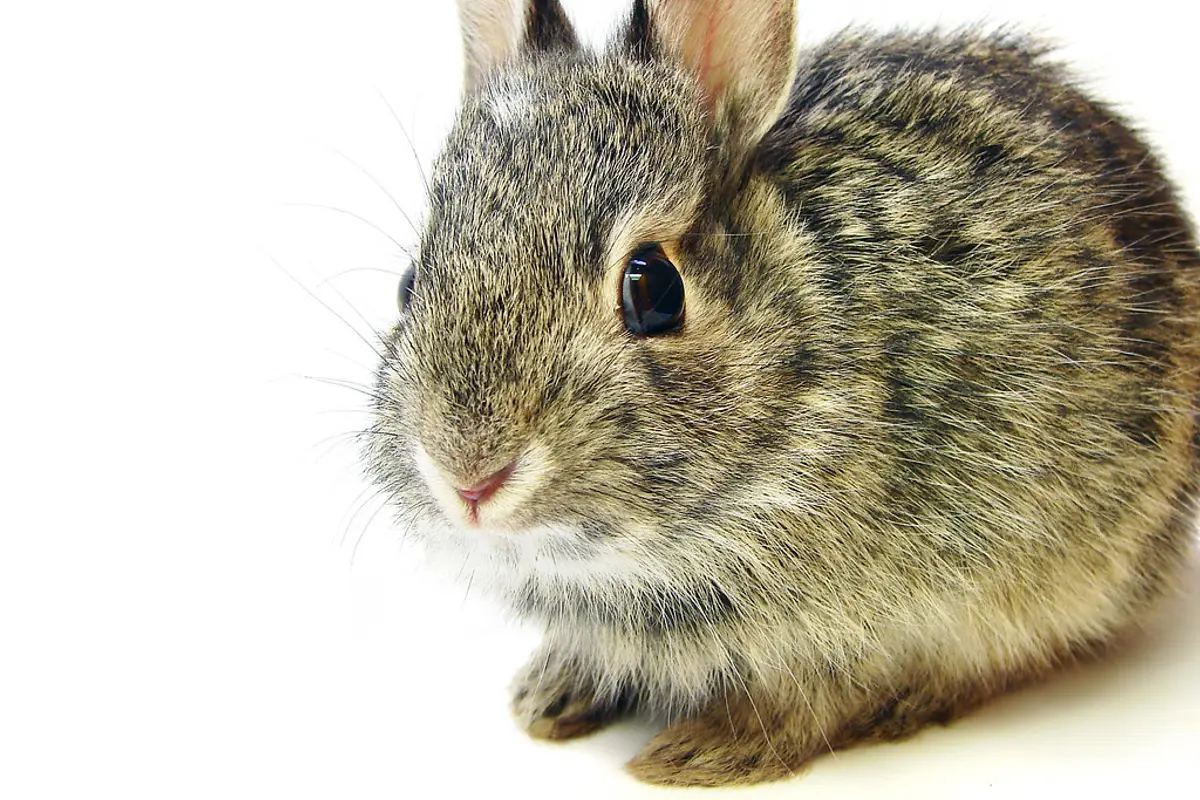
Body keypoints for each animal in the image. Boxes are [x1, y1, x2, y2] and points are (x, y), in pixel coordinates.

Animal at [362, 0, 1200, 786]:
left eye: (654, 290)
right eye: (410, 281)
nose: (468, 476)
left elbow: (816, 698)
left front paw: (701, 754)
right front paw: (550, 696)